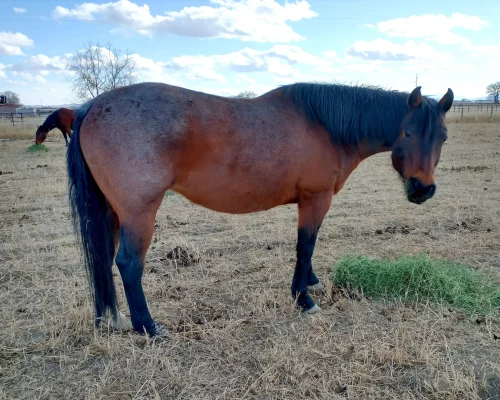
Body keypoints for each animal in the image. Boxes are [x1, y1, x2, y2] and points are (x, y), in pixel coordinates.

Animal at [65, 81, 454, 338]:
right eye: (406, 133)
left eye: (443, 137)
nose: (422, 189)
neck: (324, 126)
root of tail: (89, 108)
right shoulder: (315, 199)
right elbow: (305, 245)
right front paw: (303, 298)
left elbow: (309, 247)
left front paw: (311, 281)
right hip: (139, 213)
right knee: (129, 264)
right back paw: (147, 327)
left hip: (113, 213)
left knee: (103, 260)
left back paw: (111, 320)